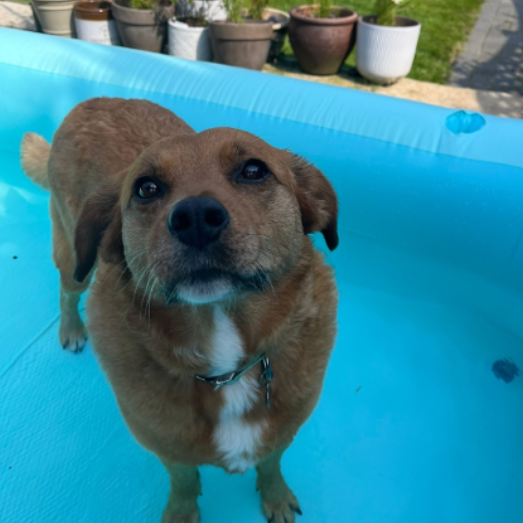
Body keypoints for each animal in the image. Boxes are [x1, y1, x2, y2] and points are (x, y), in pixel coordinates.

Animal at [20, 98, 338, 523]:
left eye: (254, 170)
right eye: (146, 188)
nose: (197, 218)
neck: (226, 371)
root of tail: (92, 102)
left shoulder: (283, 430)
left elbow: (271, 463)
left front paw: (276, 496)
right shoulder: (168, 449)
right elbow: (185, 482)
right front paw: (182, 513)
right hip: (74, 259)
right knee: (66, 291)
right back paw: (70, 328)